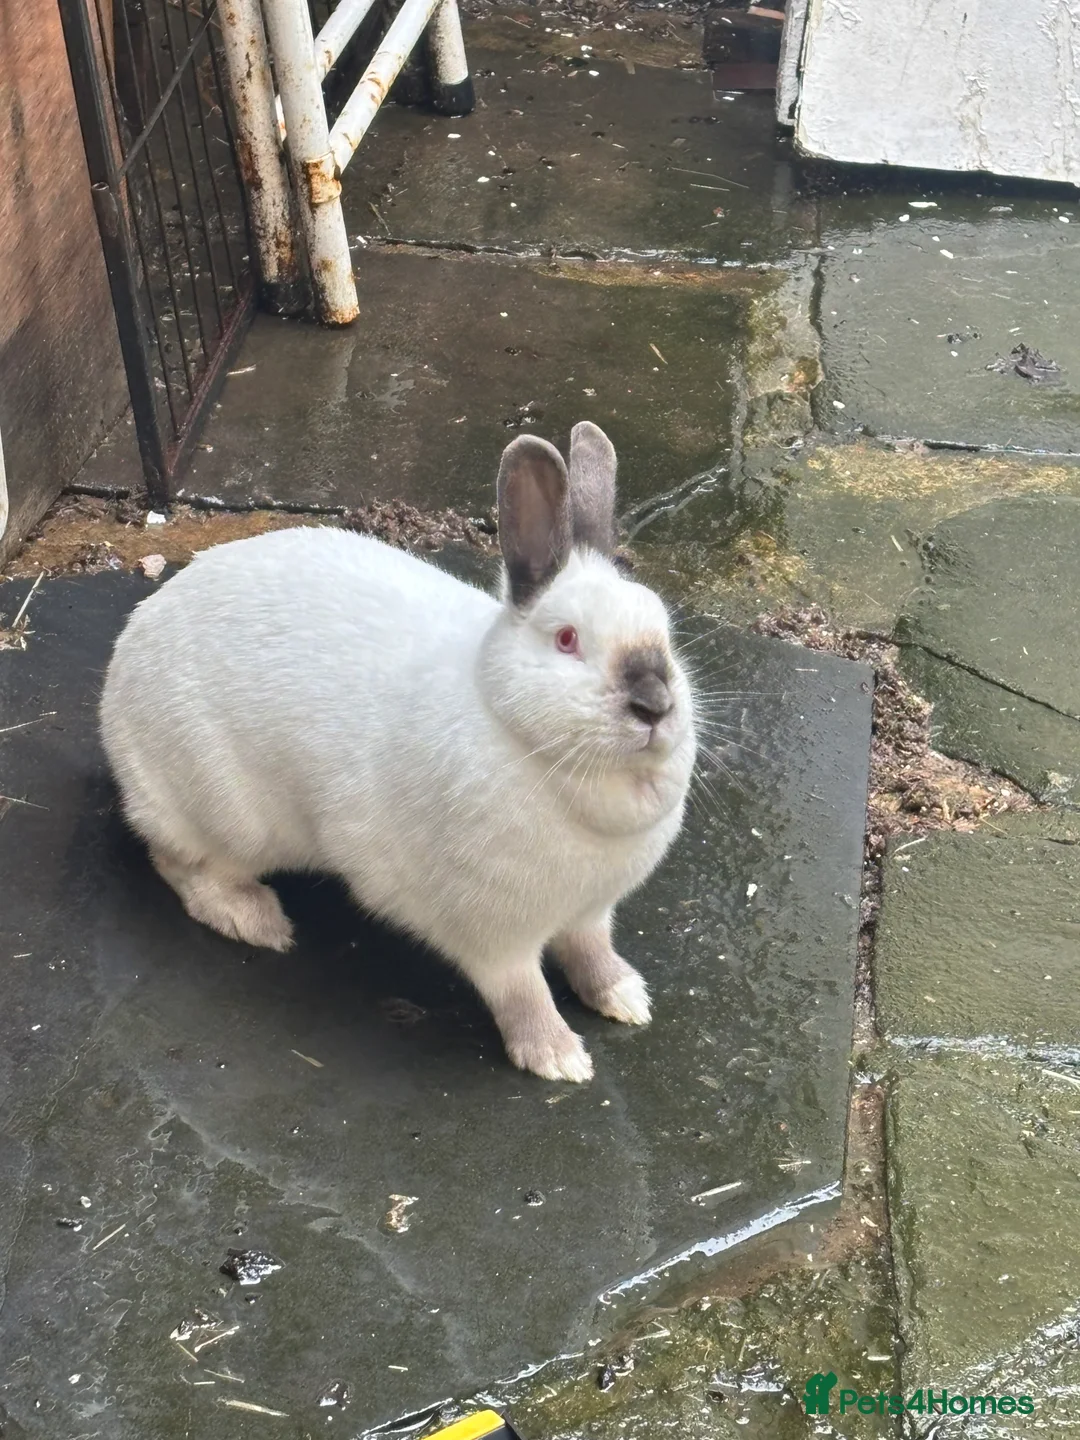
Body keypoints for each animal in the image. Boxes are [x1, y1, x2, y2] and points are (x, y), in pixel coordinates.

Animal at [99, 422, 697, 1082]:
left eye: (665, 631)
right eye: (567, 640)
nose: (654, 704)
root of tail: (118, 679)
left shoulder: (591, 912)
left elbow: (591, 951)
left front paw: (625, 997)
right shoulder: (493, 935)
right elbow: (521, 992)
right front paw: (558, 1057)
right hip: (226, 817)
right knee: (181, 865)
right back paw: (258, 921)